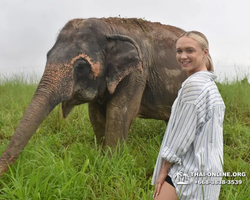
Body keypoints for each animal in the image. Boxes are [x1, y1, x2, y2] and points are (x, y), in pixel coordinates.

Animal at [0, 17, 188, 177]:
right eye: (47, 56)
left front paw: (111, 163)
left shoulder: (138, 72)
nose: (6, 177)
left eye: (81, 66)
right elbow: (95, 115)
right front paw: (100, 157)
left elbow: (119, 110)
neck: (110, 27)